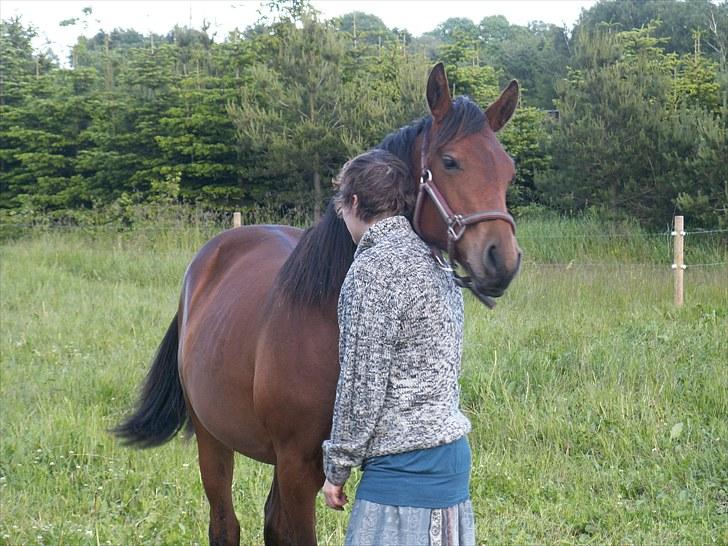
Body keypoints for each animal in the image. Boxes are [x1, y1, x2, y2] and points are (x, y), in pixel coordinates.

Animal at [112, 61, 524, 540]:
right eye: (450, 161)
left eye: (508, 170)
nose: (501, 259)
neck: (325, 321)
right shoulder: (297, 466)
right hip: (212, 438)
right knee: (225, 523)